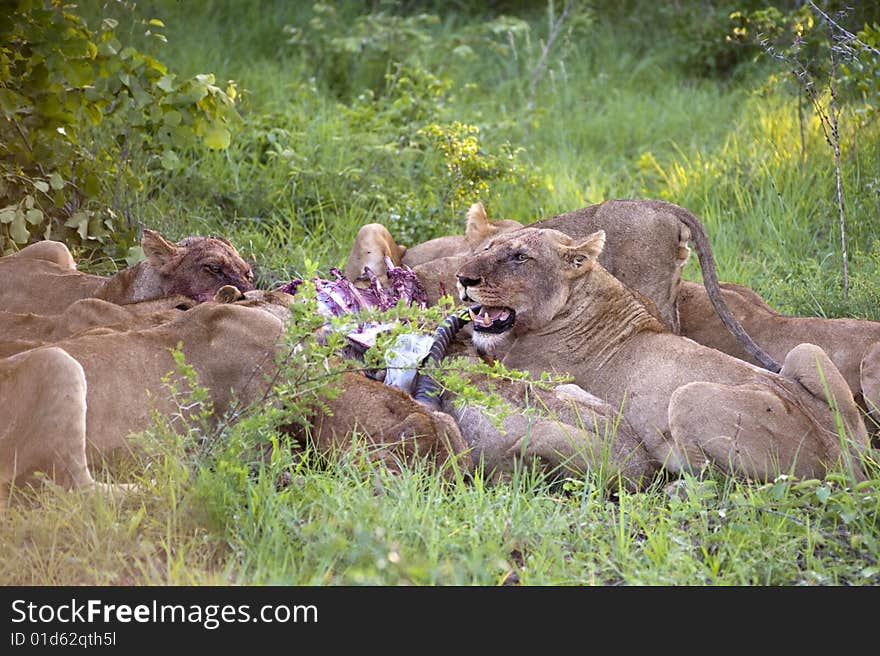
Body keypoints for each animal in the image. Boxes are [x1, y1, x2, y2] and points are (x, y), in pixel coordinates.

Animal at [458, 229, 868, 482]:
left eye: (520, 257)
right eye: (487, 248)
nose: (464, 279)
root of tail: (843, 457)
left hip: (689, 396)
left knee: (719, 484)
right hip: (806, 354)